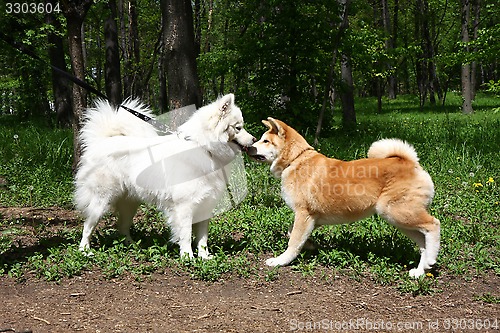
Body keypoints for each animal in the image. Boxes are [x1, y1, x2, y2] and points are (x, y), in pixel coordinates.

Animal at [76, 92, 256, 258]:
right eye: (238, 127)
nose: (254, 139)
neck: (203, 147)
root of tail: (101, 141)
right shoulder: (185, 206)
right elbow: (186, 235)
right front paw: (188, 257)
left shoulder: (205, 204)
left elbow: (202, 238)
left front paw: (204, 257)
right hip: (101, 200)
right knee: (88, 226)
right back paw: (85, 250)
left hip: (130, 203)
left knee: (122, 226)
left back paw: (133, 246)